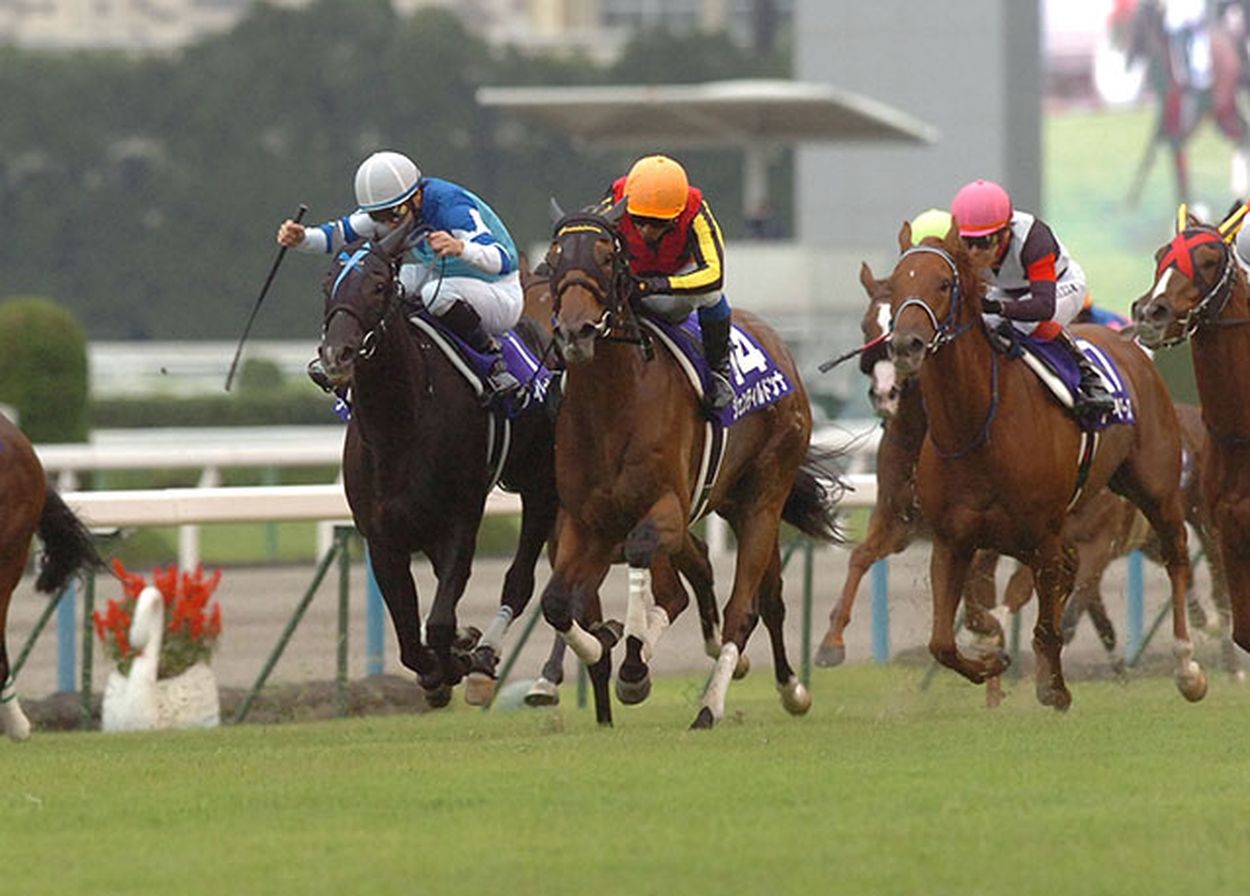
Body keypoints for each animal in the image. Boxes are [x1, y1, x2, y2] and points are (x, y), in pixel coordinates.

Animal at [317, 218, 562, 704]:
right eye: (325, 286)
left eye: (377, 285)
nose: (336, 356)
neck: (399, 427)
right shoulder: (382, 538)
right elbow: (411, 640)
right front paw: (440, 669)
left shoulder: (460, 520)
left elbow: (438, 622)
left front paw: (459, 660)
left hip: (542, 486)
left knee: (520, 579)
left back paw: (485, 659)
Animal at [537, 202, 840, 724]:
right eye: (554, 257)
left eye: (605, 255)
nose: (575, 331)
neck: (612, 405)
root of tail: (781, 347)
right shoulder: (587, 520)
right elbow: (557, 602)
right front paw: (601, 648)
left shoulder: (665, 508)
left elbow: (643, 557)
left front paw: (632, 663)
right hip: (732, 502)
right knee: (758, 593)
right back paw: (784, 686)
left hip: (764, 498)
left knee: (745, 607)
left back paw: (715, 703)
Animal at [885, 218, 1205, 704]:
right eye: (895, 284)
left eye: (943, 283)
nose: (906, 344)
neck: (976, 428)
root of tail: (1126, 342)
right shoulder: (953, 540)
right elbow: (942, 642)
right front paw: (992, 662)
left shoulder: (1043, 536)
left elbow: (1050, 624)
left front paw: (1053, 688)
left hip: (1155, 490)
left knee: (1177, 555)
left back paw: (1188, 666)